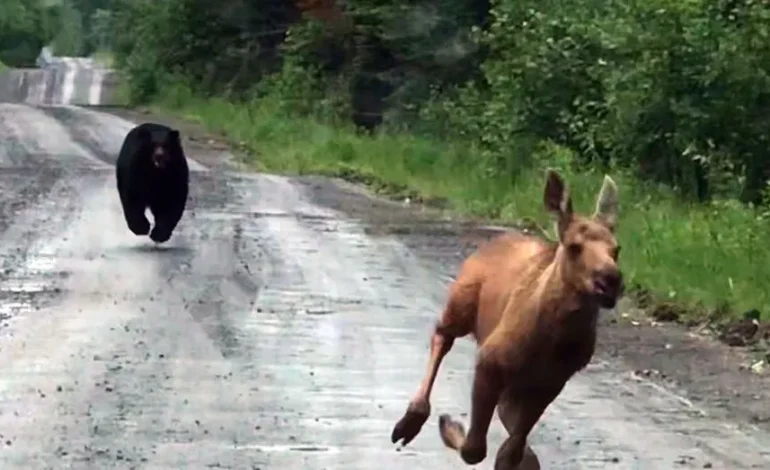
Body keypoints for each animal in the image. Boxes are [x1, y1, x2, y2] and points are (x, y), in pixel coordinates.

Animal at [391, 169, 623, 470]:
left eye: (617, 249)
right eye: (574, 246)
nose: (611, 280)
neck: (553, 340)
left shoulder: (551, 382)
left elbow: (512, 449)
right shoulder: (490, 359)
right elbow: (475, 449)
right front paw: (451, 427)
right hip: (461, 302)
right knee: (443, 334)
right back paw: (412, 420)